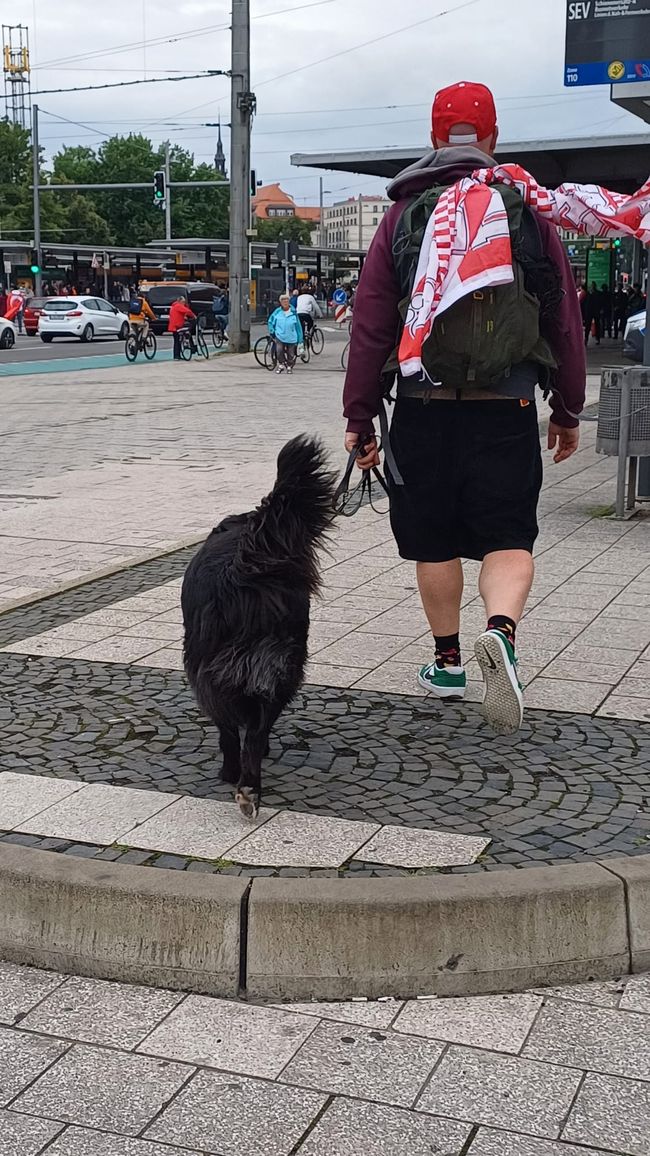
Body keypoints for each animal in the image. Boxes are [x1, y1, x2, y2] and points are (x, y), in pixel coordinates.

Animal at [180, 434, 333, 823]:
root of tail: (245, 563)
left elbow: (231, 730)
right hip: (283, 662)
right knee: (259, 725)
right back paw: (251, 784)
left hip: (215, 669)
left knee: (240, 732)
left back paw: (240, 779)